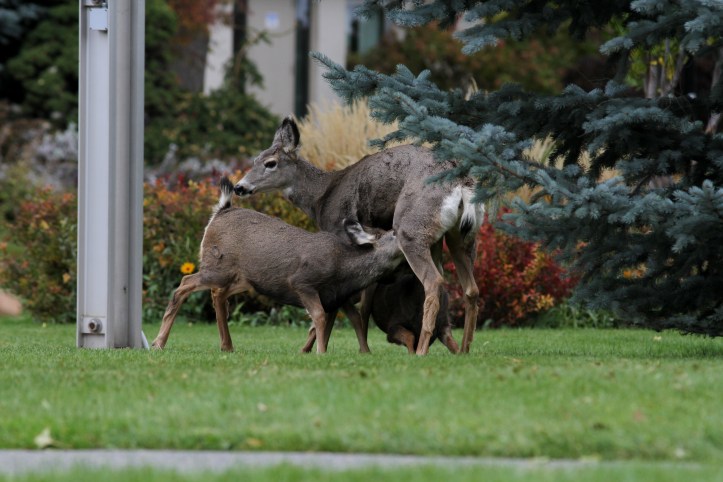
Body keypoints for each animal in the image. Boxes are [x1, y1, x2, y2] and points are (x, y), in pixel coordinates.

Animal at [151, 176, 405, 353]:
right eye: (393, 233)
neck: (345, 267)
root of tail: (221, 211)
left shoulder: (338, 297)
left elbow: (354, 320)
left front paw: (365, 352)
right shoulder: (302, 282)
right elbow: (319, 317)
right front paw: (321, 353)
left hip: (242, 278)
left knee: (218, 295)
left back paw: (227, 346)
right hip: (217, 267)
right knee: (185, 283)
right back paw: (158, 342)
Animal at [234, 116, 484, 355]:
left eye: (270, 163)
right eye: (255, 160)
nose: (239, 187)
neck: (321, 198)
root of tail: (462, 184)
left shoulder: (341, 233)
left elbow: (342, 303)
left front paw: (317, 348)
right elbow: (364, 301)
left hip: (411, 228)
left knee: (434, 281)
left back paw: (422, 350)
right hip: (459, 237)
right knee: (470, 289)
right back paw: (464, 350)